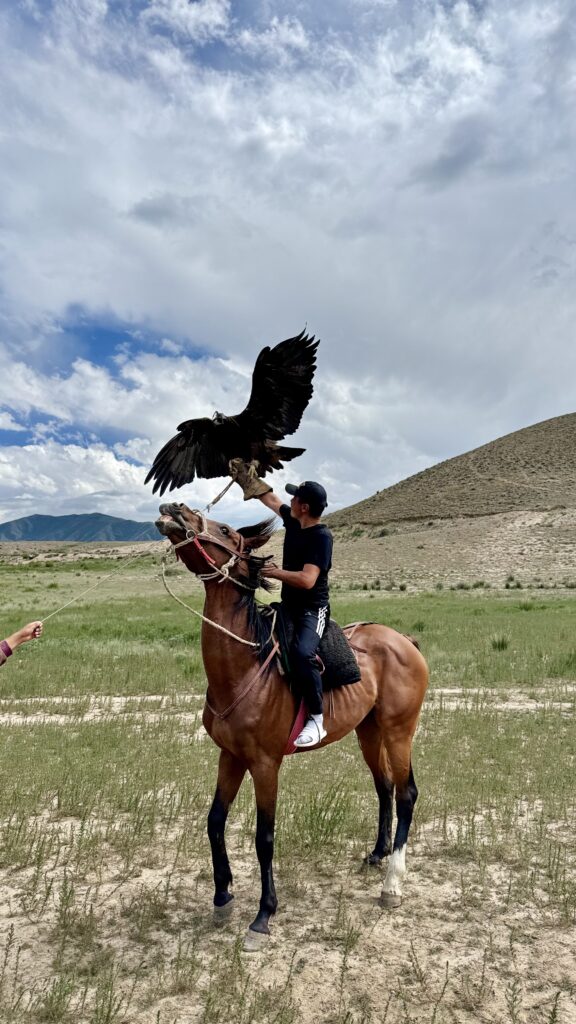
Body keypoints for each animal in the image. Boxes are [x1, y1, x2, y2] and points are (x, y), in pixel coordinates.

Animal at [155, 499, 426, 946]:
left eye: (226, 529)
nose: (174, 508)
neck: (244, 668)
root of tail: (404, 640)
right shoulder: (230, 756)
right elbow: (214, 821)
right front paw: (222, 895)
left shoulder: (265, 764)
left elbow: (264, 837)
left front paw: (263, 914)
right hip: (368, 731)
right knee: (384, 786)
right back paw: (376, 854)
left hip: (398, 731)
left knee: (406, 794)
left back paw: (392, 884)